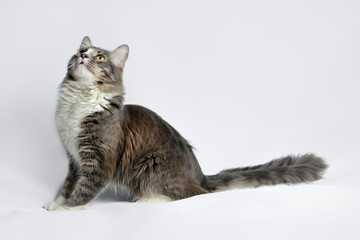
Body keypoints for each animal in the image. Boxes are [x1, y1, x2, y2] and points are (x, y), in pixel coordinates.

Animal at [43, 36, 328, 211]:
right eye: (78, 52)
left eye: (99, 57)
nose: (82, 55)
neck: (78, 101)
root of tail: (200, 177)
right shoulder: (74, 158)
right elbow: (68, 185)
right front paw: (55, 204)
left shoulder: (99, 158)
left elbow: (84, 188)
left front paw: (67, 209)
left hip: (150, 165)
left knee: (188, 195)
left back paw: (146, 200)